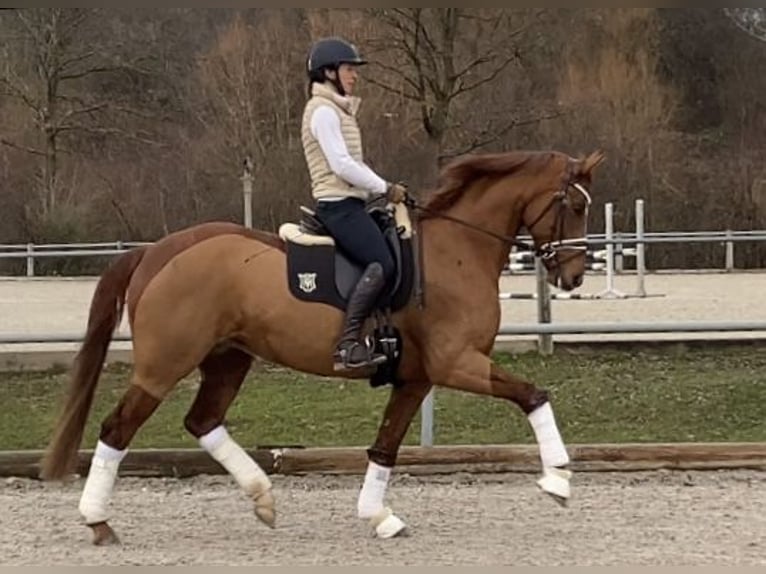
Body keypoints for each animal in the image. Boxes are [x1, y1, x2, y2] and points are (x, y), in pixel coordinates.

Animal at [40, 147, 608, 544]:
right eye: (573, 205)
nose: (576, 276)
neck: (457, 251)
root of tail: (156, 252)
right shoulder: (456, 363)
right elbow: (533, 394)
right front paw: (558, 480)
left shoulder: (416, 376)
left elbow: (385, 445)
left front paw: (379, 517)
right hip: (164, 365)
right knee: (117, 429)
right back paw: (98, 521)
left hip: (228, 359)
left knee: (202, 421)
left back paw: (263, 499)